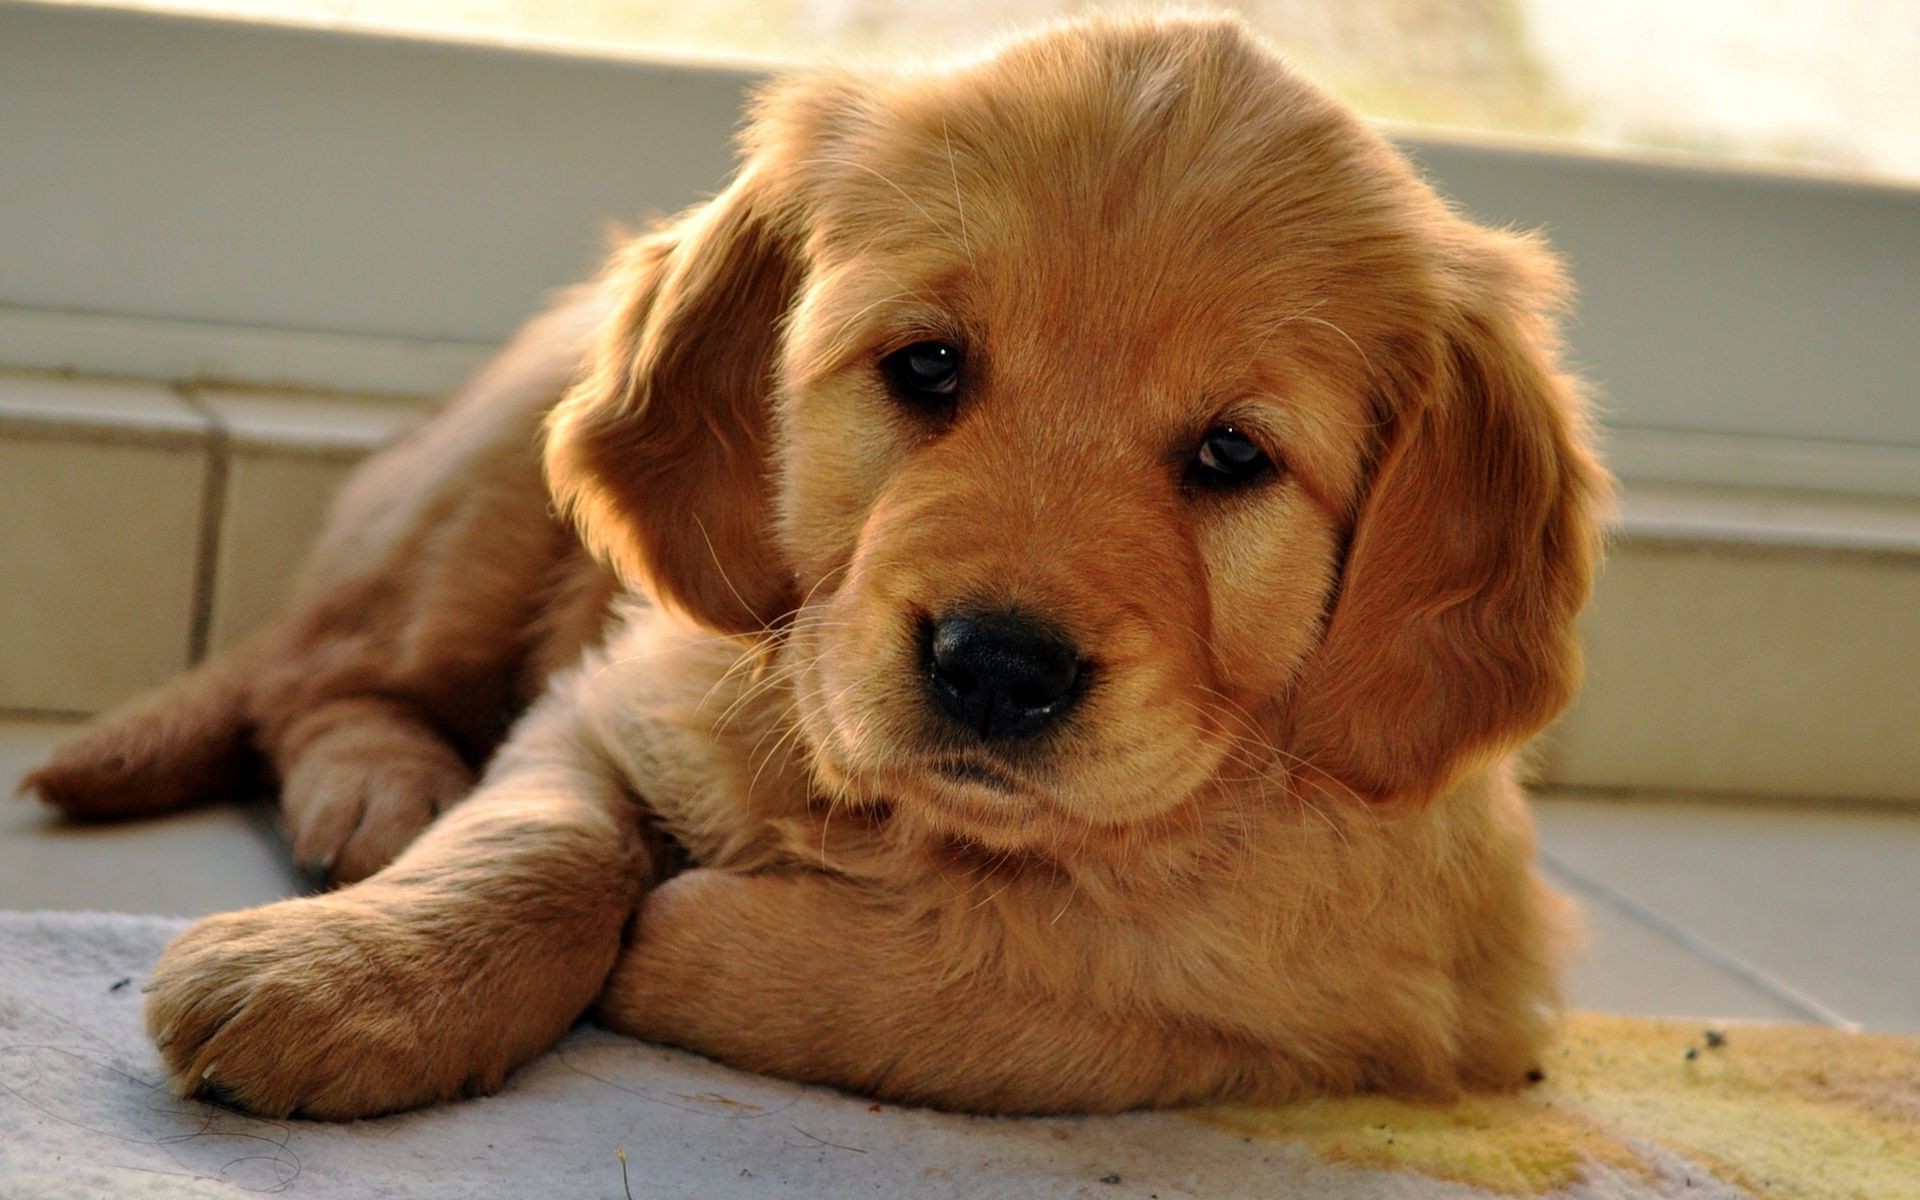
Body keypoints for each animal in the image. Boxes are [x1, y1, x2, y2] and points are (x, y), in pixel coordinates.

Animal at [37, 9, 1612, 1121]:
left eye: (1233, 454)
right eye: (927, 366)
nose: (998, 667)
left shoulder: (1380, 994)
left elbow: (1013, 979)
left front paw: (685, 937)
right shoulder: (614, 697)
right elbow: (533, 841)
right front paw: (344, 979)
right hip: (477, 503)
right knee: (320, 670)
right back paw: (378, 793)